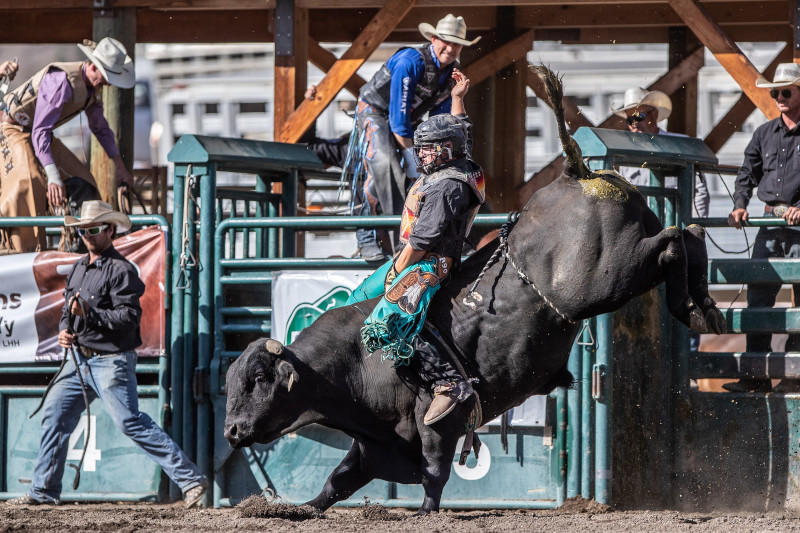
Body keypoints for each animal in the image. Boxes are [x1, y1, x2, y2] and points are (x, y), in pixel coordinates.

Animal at [222, 65, 728, 512]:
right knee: (687, 232)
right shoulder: (376, 444)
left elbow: (434, 472)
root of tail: (576, 173)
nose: (231, 431)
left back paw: (695, 308)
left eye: (260, 379)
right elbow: (336, 482)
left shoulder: (436, 425)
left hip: (610, 276)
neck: (359, 361)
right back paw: (704, 306)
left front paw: (426, 511)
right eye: (230, 382)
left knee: (673, 240)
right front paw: (294, 509)